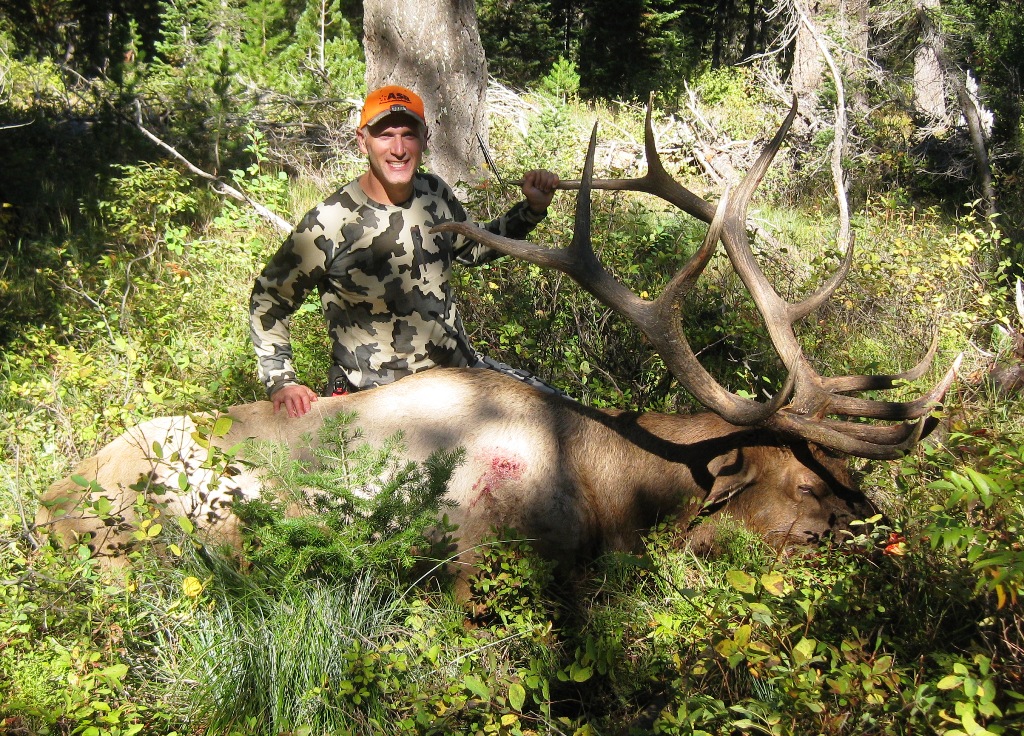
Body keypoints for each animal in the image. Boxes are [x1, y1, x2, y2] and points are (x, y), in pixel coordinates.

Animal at [34, 99, 958, 569]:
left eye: (846, 472)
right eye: (805, 486)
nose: (891, 537)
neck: (610, 481)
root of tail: (46, 505)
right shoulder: (474, 557)